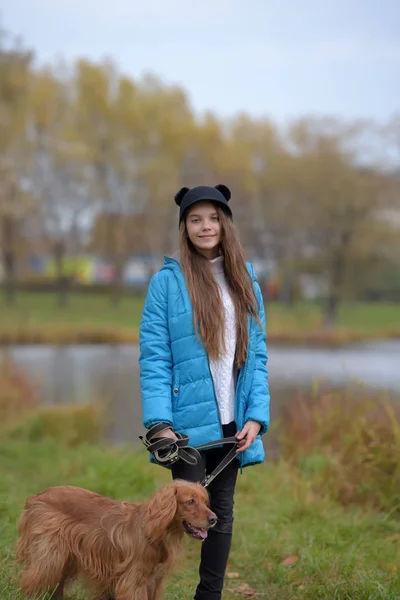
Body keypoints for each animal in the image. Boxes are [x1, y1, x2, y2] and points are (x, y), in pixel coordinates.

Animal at [15, 478, 217, 600]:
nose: (214, 519)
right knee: (32, 581)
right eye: (190, 502)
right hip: (50, 557)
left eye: (205, 502)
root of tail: (37, 496)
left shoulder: (154, 582)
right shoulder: (133, 582)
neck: (155, 532)